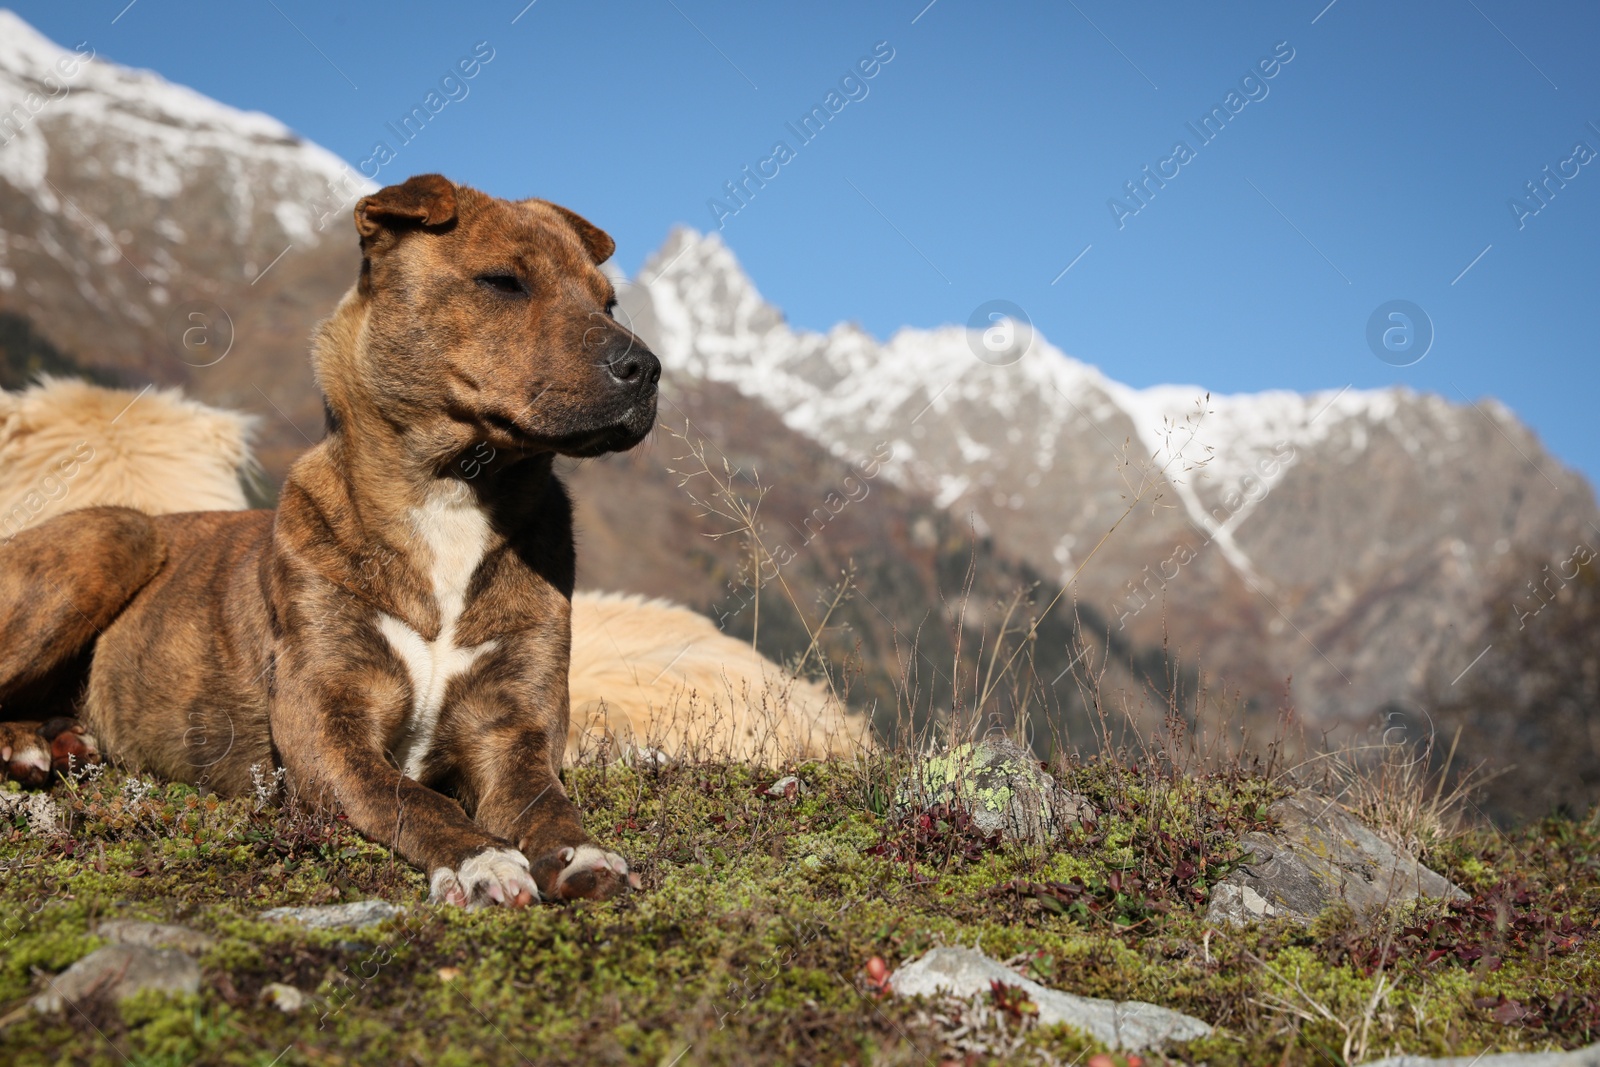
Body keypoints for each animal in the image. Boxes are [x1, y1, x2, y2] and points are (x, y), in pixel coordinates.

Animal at [0, 177, 656, 908]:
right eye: (503, 282)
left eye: (607, 301)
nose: (646, 367)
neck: (452, 495)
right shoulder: (327, 729)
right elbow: (415, 800)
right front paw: (480, 859)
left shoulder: (514, 730)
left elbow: (548, 801)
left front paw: (580, 852)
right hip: (117, 534)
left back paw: (54, 743)